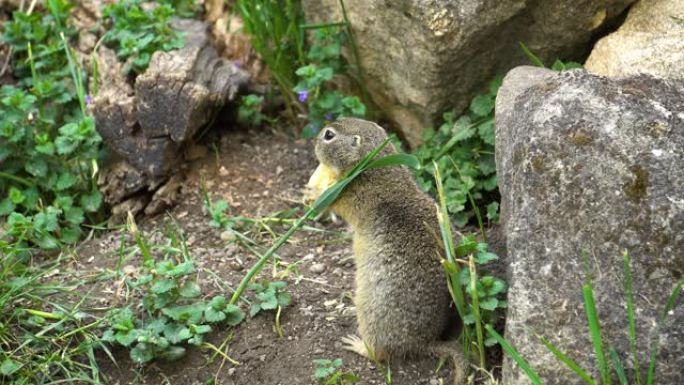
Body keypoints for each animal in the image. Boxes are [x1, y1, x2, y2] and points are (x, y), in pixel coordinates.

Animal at [308, 118, 468, 384]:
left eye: (329, 135)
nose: (314, 140)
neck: (377, 166)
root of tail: (425, 342)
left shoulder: (346, 193)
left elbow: (329, 199)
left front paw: (312, 191)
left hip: (370, 315)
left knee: (380, 354)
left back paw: (356, 344)